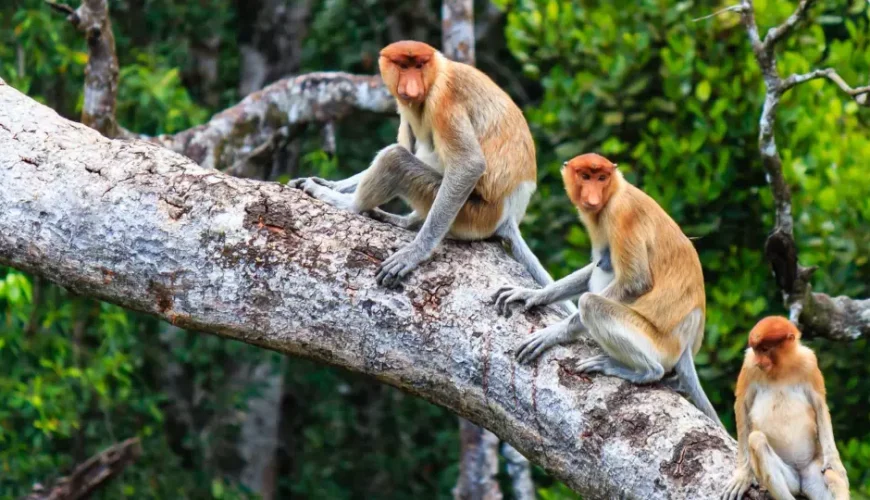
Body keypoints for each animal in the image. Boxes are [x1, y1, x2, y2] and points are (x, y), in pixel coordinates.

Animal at [289, 40, 576, 313]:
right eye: (403, 66)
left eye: (419, 66)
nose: (412, 87)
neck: (437, 72)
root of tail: (508, 217)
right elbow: (407, 142)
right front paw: (329, 182)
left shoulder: (443, 100)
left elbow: (468, 164)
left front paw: (413, 254)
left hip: (473, 214)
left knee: (396, 159)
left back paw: (349, 204)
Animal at [492, 153, 722, 426]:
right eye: (585, 176)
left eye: (602, 178)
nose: (593, 198)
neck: (615, 191)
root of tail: (686, 343)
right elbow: (594, 265)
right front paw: (532, 294)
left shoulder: (621, 214)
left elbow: (635, 281)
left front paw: (553, 333)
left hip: (657, 342)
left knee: (592, 301)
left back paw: (644, 371)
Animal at [722, 316, 849, 500]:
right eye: (756, 351)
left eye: (765, 349)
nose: (759, 362)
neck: (780, 368)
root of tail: (801, 477)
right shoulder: (749, 365)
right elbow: (742, 406)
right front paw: (743, 476)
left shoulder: (809, 362)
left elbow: (820, 405)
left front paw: (835, 463)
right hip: (792, 480)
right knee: (757, 440)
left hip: (813, 470)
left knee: (830, 475)